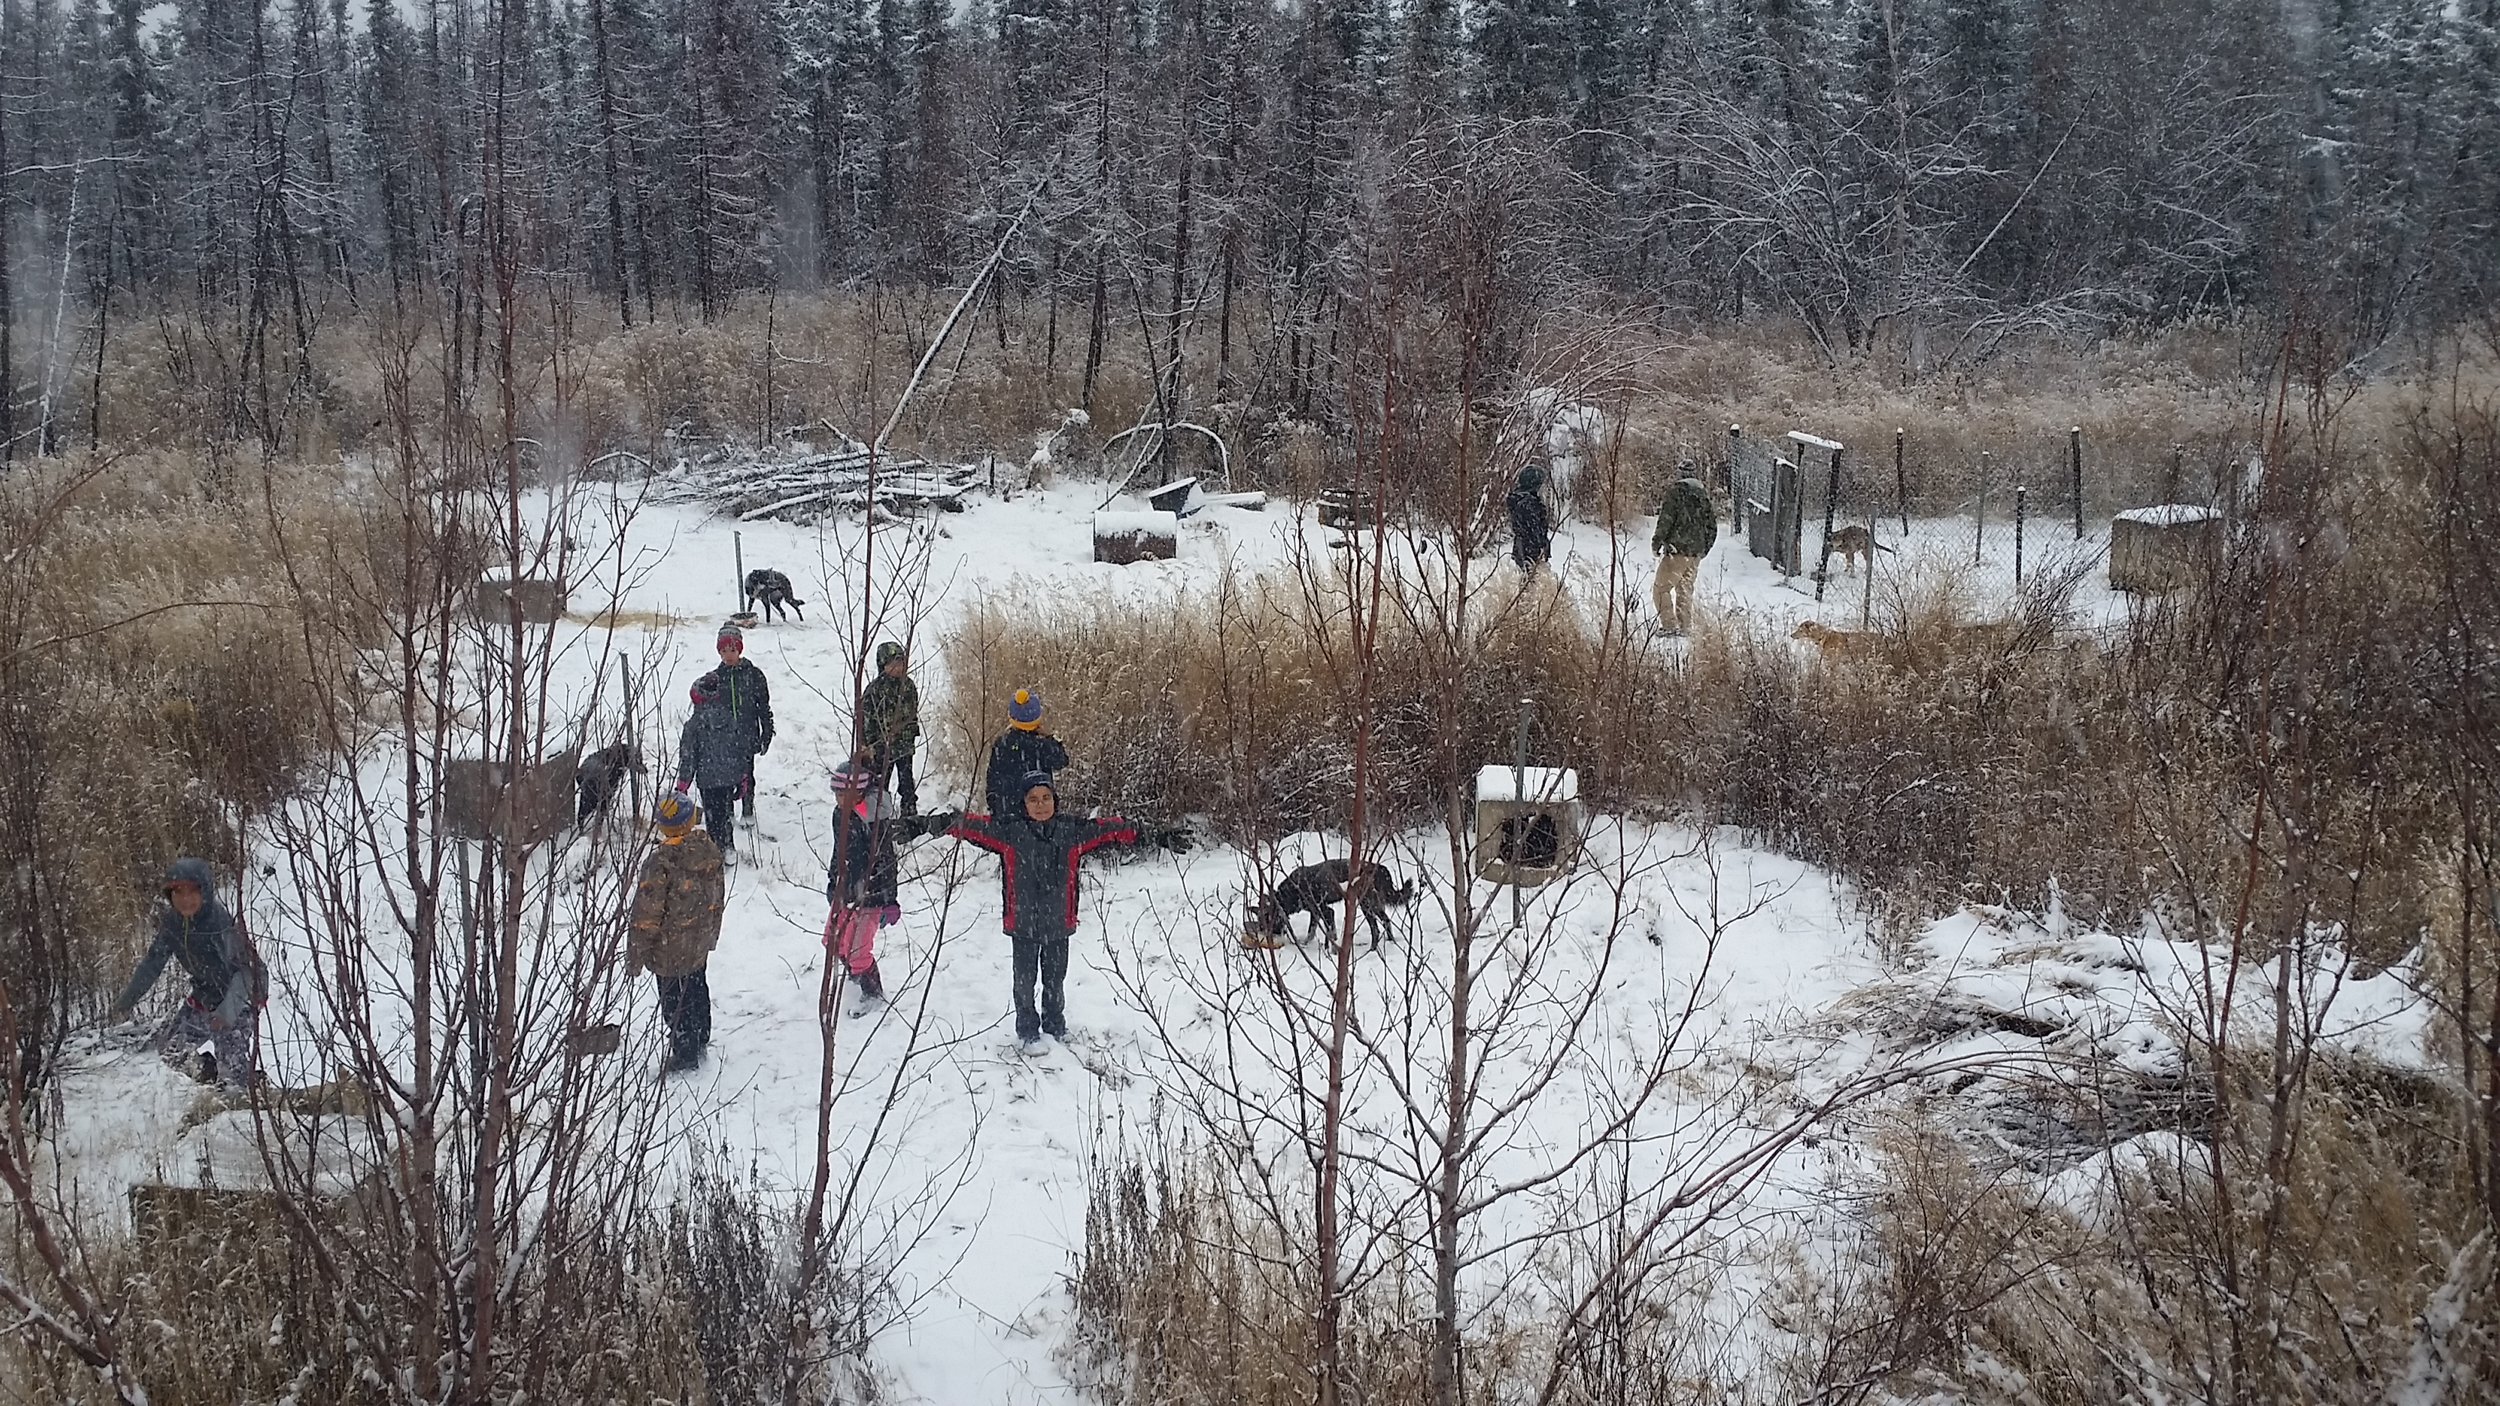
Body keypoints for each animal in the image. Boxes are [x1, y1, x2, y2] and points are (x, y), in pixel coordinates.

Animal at [1260, 850, 1420, 945]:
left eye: (1268, 921)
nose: (1268, 936)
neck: (1291, 891)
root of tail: (1378, 867)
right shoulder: (1316, 912)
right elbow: (1312, 931)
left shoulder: (1326, 910)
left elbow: (1327, 931)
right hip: (1374, 904)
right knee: (1386, 920)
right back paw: (1391, 941)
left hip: (1366, 904)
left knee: (1375, 928)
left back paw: (1373, 949)